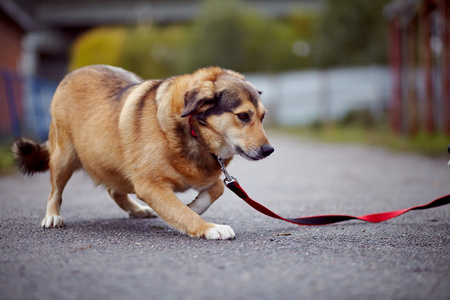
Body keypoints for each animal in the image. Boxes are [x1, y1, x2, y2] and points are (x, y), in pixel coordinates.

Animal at [12, 65, 274, 239]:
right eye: (243, 116)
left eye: (263, 117)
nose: (269, 150)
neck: (192, 131)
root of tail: (75, 72)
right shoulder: (150, 185)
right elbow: (184, 212)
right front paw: (208, 227)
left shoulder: (205, 175)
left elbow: (216, 188)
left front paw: (194, 206)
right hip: (64, 158)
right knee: (54, 192)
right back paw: (52, 216)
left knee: (114, 190)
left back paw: (136, 210)